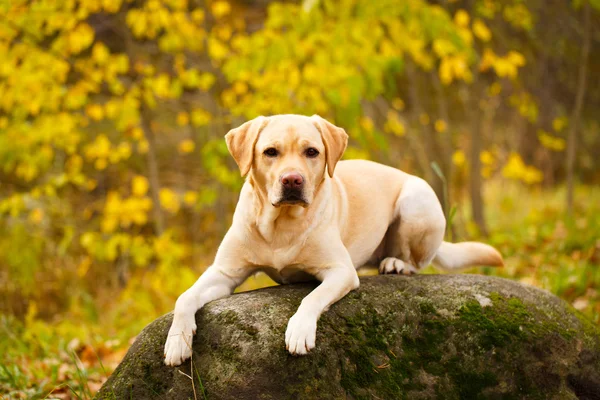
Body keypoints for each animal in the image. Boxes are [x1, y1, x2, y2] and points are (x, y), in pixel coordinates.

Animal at [163, 113, 502, 366]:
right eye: (270, 152)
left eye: (311, 152)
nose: (292, 180)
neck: (281, 225)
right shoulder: (224, 273)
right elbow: (184, 298)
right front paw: (177, 342)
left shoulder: (341, 271)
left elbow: (311, 297)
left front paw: (299, 330)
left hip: (416, 201)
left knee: (417, 261)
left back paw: (397, 263)